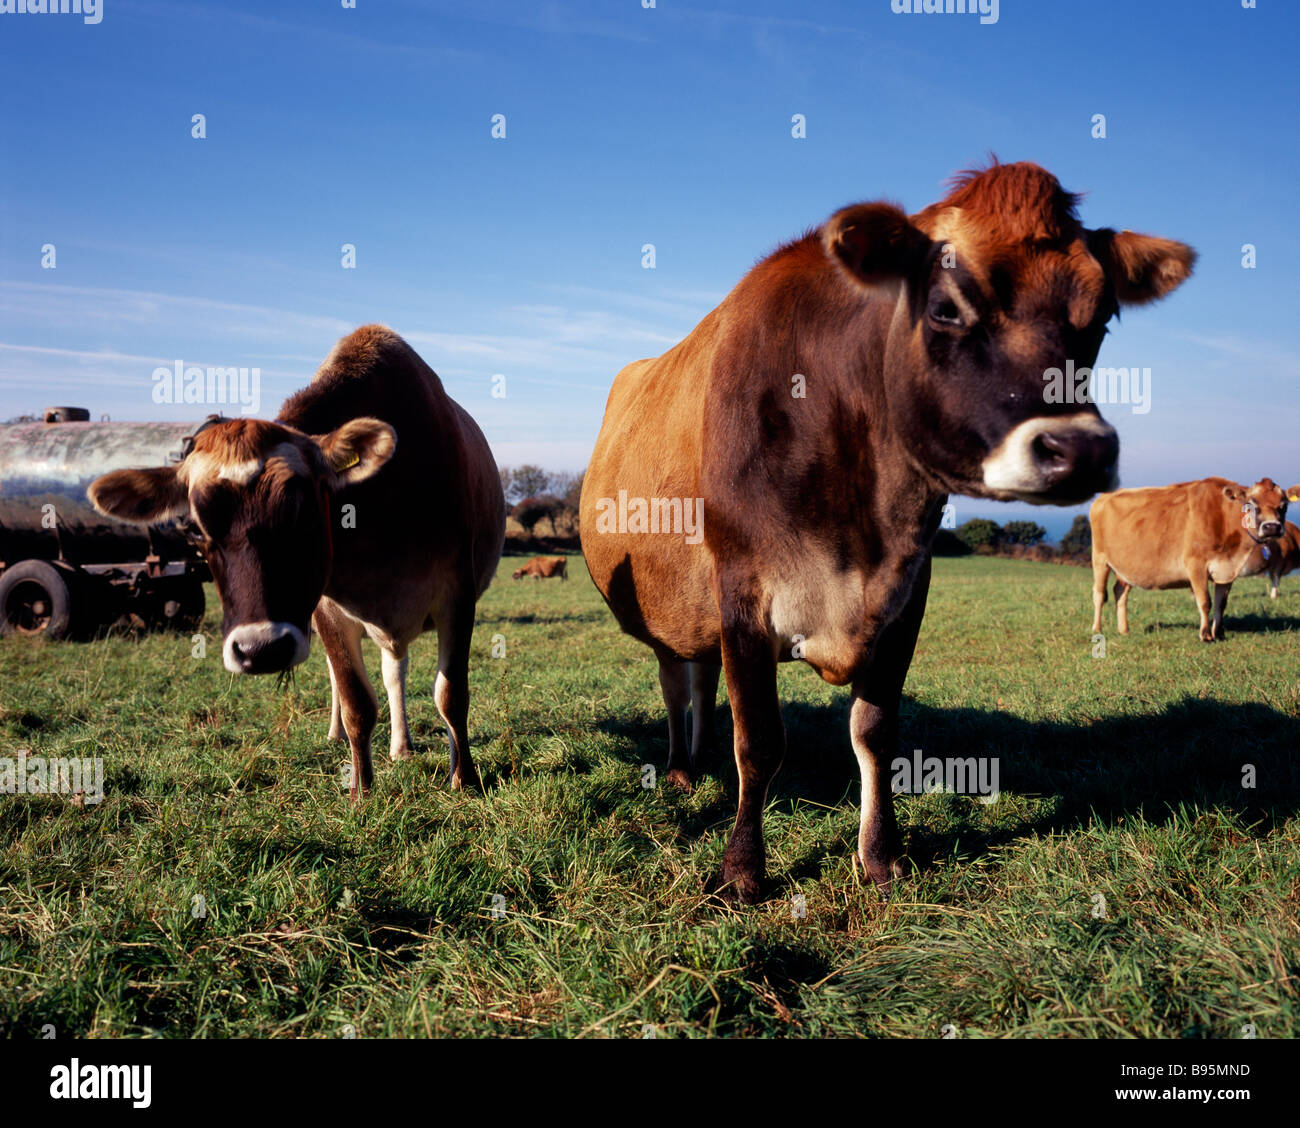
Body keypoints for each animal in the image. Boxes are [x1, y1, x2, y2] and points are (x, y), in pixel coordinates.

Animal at [88, 325, 505, 798]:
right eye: (193, 528)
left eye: (304, 511)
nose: (261, 649)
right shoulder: (326, 609)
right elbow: (356, 701)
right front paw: (361, 791)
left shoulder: (458, 596)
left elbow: (451, 694)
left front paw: (464, 777)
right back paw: (343, 735)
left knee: (395, 671)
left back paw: (401, 745)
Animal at [580, 160, 1195, 903]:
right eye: (946, 308)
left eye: (1101, 320)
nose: (1079, 451)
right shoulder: (741, 595)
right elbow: (758, 740)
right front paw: (743, 871)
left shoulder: (907, 592)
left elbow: (875, 732)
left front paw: (881, 856)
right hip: (666, 602)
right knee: (677, 679)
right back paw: (678, 768)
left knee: (698, 678)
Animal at [1090, 478, 1294, 641]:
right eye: (1251, 503)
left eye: (1284, 506)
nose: (1271, 527)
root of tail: (1103, 497)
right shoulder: (1196, 564)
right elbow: (1205, 601)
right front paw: (1205, 635)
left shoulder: (1227, 571)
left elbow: (1221, 603)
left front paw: (1219, 633)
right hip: (1099, 559)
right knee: (1099, 594)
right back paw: (1097, 629)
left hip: (1126, 566)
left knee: (1119, 591)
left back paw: (1124, 630)